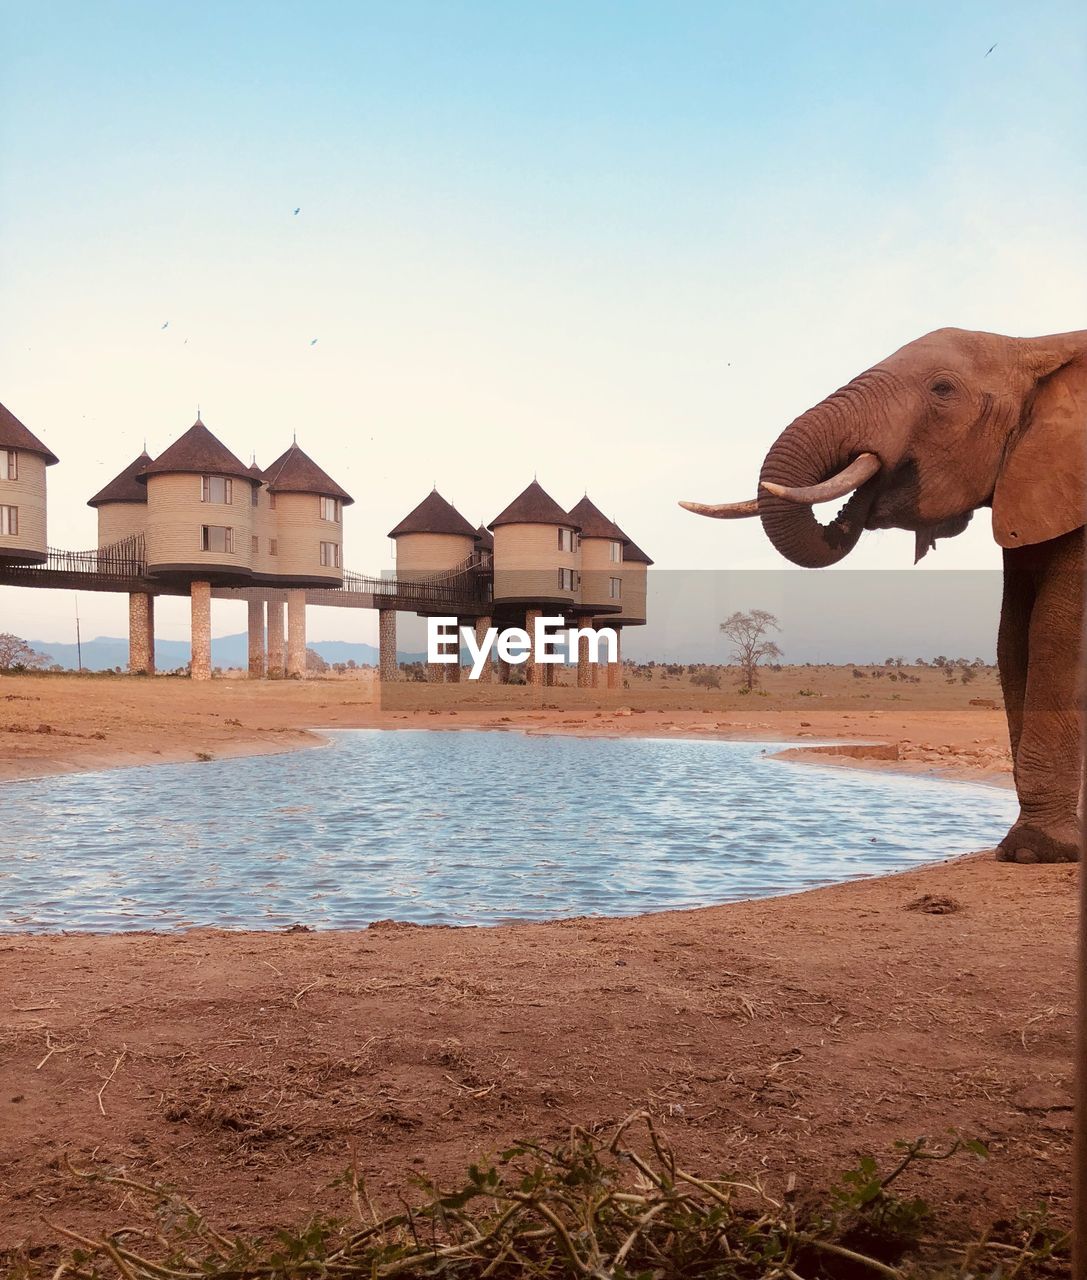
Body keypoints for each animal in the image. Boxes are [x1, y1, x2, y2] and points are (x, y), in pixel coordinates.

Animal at [681, 327, 1080, 870]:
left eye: (942, 390)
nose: (870, 491)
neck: (1033, 342)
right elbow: (1013, 638)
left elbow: (1056, 634)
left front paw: (1036, 854)